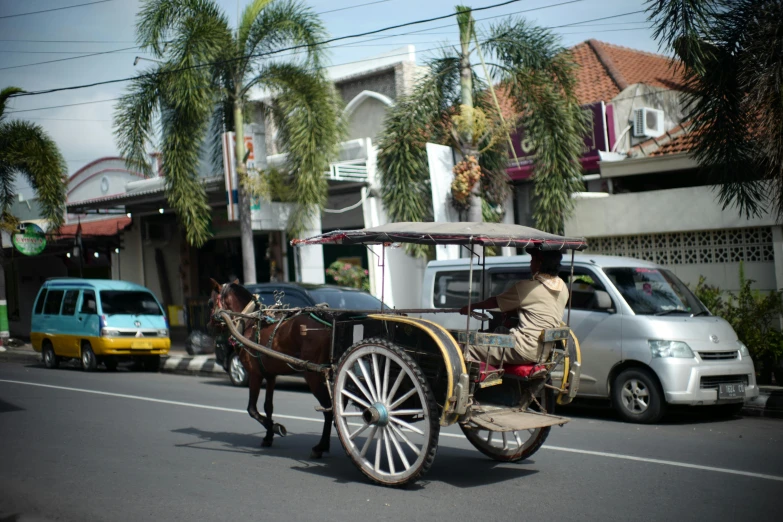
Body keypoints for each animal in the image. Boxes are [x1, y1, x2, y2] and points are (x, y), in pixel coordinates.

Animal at [208, 276, 334, 456]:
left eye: (210, 303)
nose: (209, 327)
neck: (249, 321)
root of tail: (328, 322)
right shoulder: (270, 375)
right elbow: (268, 406)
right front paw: (268, 437)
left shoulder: (255, 375)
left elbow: (252, 409)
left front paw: (276, 427)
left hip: (313, 375)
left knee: (329, 409)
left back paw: (321, 446)